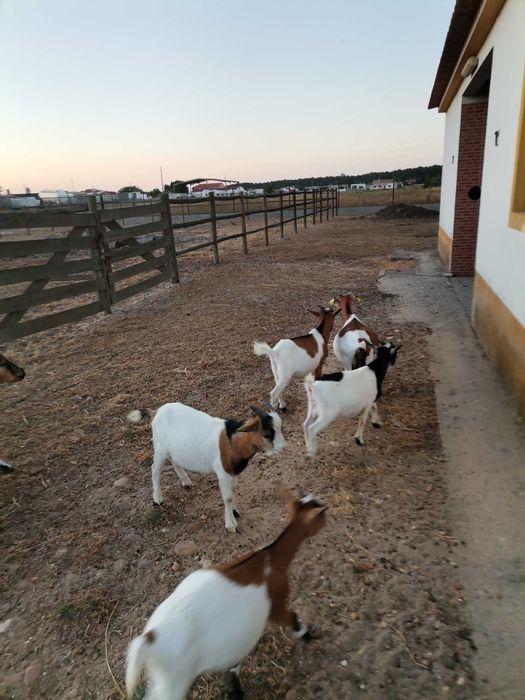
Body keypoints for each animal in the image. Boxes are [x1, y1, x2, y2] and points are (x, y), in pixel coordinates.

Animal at [126, 484, 327, 700]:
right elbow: (293, 618)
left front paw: (235, 690)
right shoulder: (276, 603)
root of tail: (151, 637)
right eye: (321, 513)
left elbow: (234, 664)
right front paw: (308, 636)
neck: (271, 558)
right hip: (174, 680)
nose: (327, 514)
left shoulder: (237, 640)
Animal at [127, 403, 285, 532]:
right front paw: (230, 525)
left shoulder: (233, 472)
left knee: (174, 460)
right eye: (267, 434)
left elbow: (233, 490)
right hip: (160, 448)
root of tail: (156, 412)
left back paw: (186, 481)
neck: (232, 443)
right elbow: (228, 497)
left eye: (279, 428)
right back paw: (158, 499)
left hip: (171, 449)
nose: (283, 447)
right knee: (155, 469)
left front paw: (235, 511)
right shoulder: (222, 473)